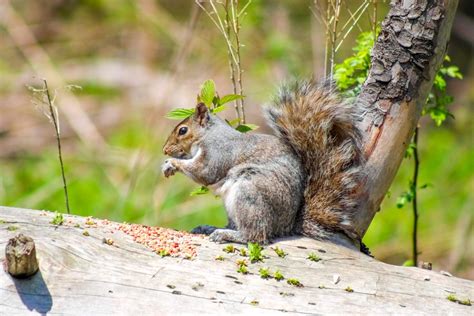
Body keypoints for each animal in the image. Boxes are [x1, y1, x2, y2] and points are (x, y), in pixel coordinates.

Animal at [161, 80, 364, 248]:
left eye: (182, 130)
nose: (165, 150)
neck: (209, 134)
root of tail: (287, 225)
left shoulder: (218, 152)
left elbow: (204, 171)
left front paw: (172, 163)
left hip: (250, 192)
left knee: (256, 236)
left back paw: (226, 234)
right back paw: (210, 228)